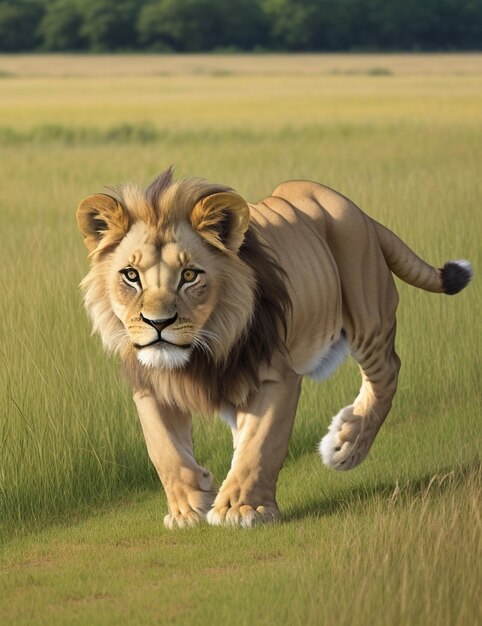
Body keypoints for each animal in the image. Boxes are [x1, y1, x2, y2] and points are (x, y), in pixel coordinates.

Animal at [77, 167, 472, 528]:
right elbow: (164, 449)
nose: (157, 324)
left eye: (189, 275)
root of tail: (357, 210)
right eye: (131, 275)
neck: (202, 353)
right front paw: (188, 509)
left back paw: (346, 446)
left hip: (367, 311)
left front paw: (240, 509)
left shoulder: (276, 375)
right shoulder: (148, 383)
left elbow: (261, 444)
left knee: (387, 371)